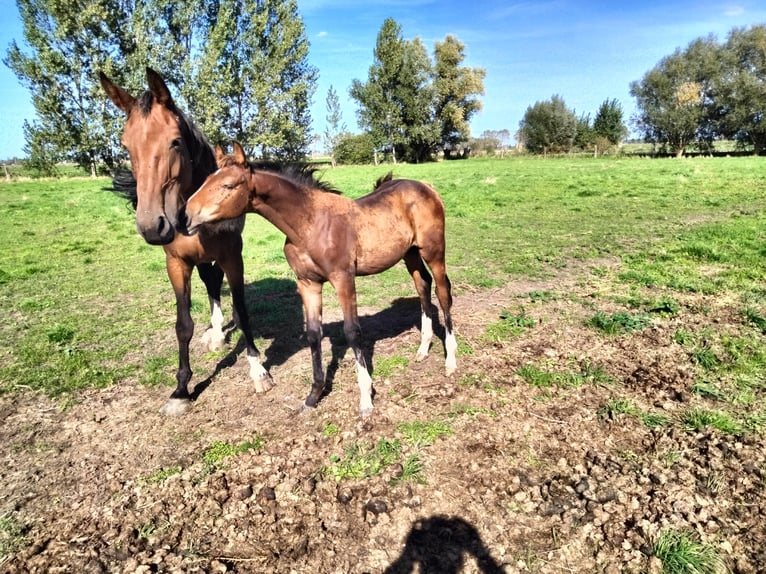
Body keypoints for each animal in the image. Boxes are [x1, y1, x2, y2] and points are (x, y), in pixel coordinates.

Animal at [99, 69, 273, 415]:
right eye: (126, 146)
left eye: (175, 141)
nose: (153, 226)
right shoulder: (176, 264)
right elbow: (183, 325)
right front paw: (181, 389)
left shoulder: (233, 257)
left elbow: (242, 310)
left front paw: (258, 370)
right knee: (210, 285)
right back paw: (216, 334)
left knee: (215, 284)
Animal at [180, 142, 457, 416]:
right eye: (206, 180)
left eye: (228, 185)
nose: (185, 216)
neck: (309, 225)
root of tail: (426, 186)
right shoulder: (307, 283)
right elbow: (314, 333)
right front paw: (314, 395)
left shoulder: (344, 279)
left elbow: (352, 331)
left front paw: (366, 399)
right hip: (410, 254)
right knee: (423, 286)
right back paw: (423, 349)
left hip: (433, 252)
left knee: (443, 292)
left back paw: (451, 361)